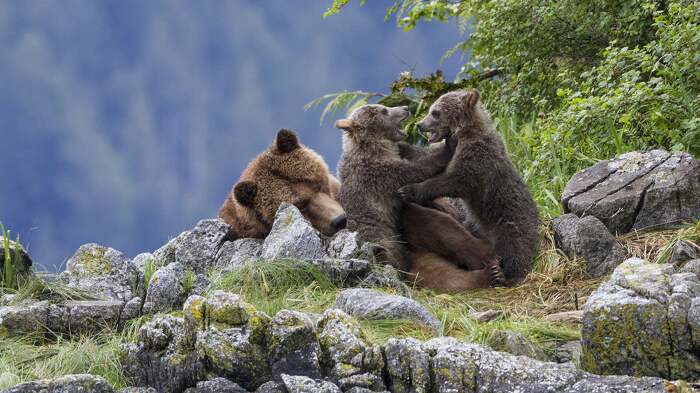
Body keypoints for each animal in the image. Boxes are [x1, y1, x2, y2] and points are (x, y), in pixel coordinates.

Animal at [334, 102, 504, 290]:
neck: (374, 147)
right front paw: (449, 145)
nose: (405, 107)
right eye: (384, 110)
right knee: (444, 275)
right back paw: (489, 273)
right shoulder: (377, 173)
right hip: (392, 249)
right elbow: (417, 170)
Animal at [396, 89, 540, 284]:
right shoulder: (452, 152)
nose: (420, 124)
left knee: (515, 249)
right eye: (431, 109)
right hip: (474, 223)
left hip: (510, 221)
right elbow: (427, 157)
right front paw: (403, 147)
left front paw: (409, 190)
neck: (465, 133)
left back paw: (503, 274)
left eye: (435, 112)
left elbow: (452, 181)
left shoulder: (476, 159)